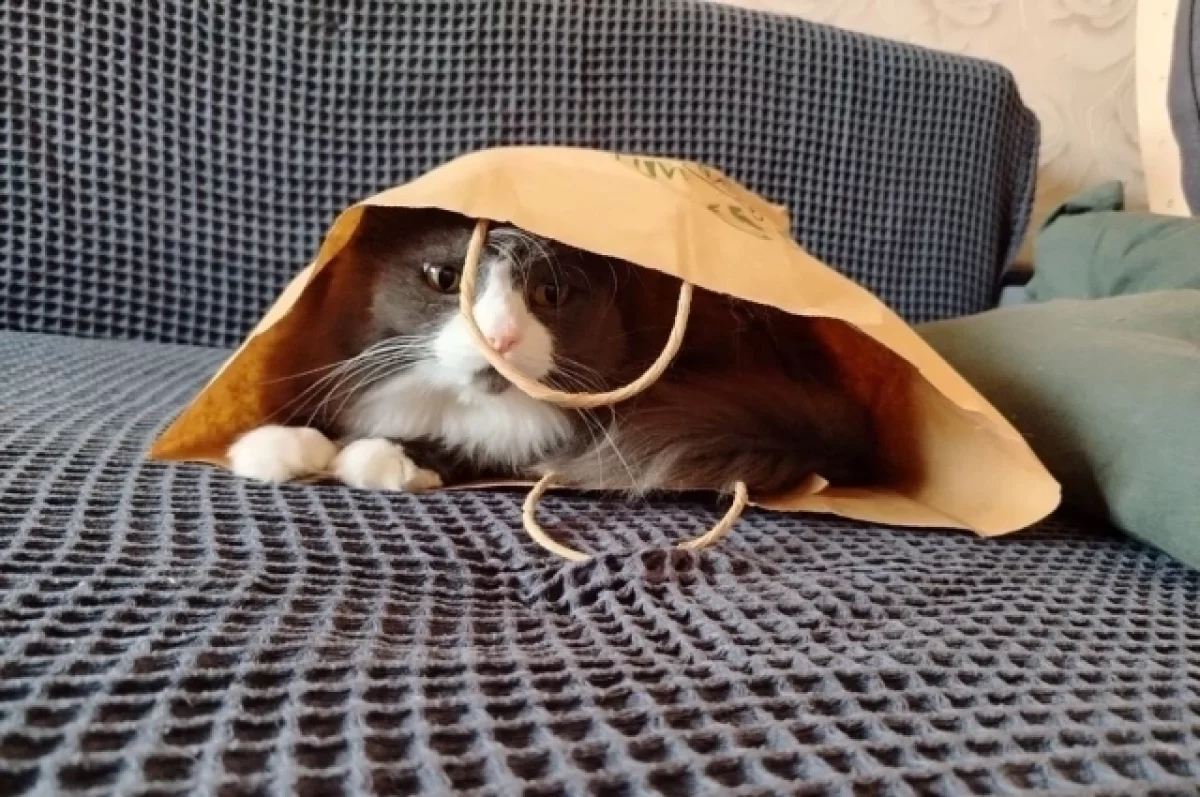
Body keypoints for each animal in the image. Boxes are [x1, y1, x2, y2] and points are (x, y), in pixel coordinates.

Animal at [227, 206, 879, 498]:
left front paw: (377, 457)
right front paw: (275, 445)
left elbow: (481, 448)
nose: (499, 336)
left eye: (551, 293)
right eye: (445, 279)